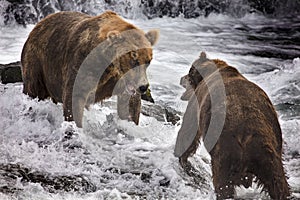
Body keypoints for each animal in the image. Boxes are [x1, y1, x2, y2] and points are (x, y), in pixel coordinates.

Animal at [21, 10, 159, 127]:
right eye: (134, 59)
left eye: (148, 61)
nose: (143, 87)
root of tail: (37, 26)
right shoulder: (83, 64)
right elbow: (74, 98)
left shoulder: (119, 80)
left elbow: (130, 105)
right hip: (37, 63)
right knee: (33, 90)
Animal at [175, 52, 290, 200]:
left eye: (189, 72)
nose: (181, 79)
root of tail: (247, 134)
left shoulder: (197, 101)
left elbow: (189, 128)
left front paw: (180, 155)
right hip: (270, 155)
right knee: (279, 184)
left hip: (225, 151)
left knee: (222, 183)